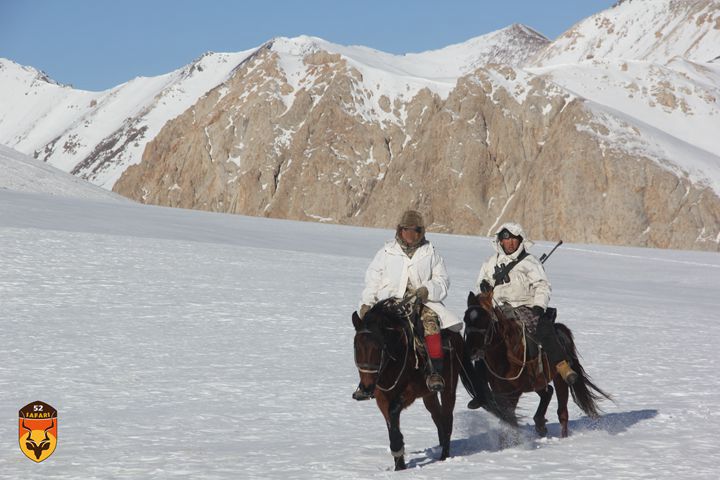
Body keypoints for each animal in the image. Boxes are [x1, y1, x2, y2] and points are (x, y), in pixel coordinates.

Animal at [352, 298, 476, 470]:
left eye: (378, 347)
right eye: (356, 346)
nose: (366, 387)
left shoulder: (411, 391)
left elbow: (393, 411)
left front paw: (398, 448)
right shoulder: (382, 396)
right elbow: (390, 421)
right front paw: (399, 465)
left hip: (449, 387)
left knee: (447, 418)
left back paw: (444, 456)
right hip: (429, 395)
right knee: (437, 416)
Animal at [464, 288, 612, 438]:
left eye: (485, 320)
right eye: (465, 319)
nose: (471, 350)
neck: (505, 354)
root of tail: (560, 330)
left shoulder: (514, 392)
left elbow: (510, 420)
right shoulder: (499, 391)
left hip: (559, 380)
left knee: (562, 412)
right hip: (537, 381)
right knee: (548, 392)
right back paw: (540, 423)